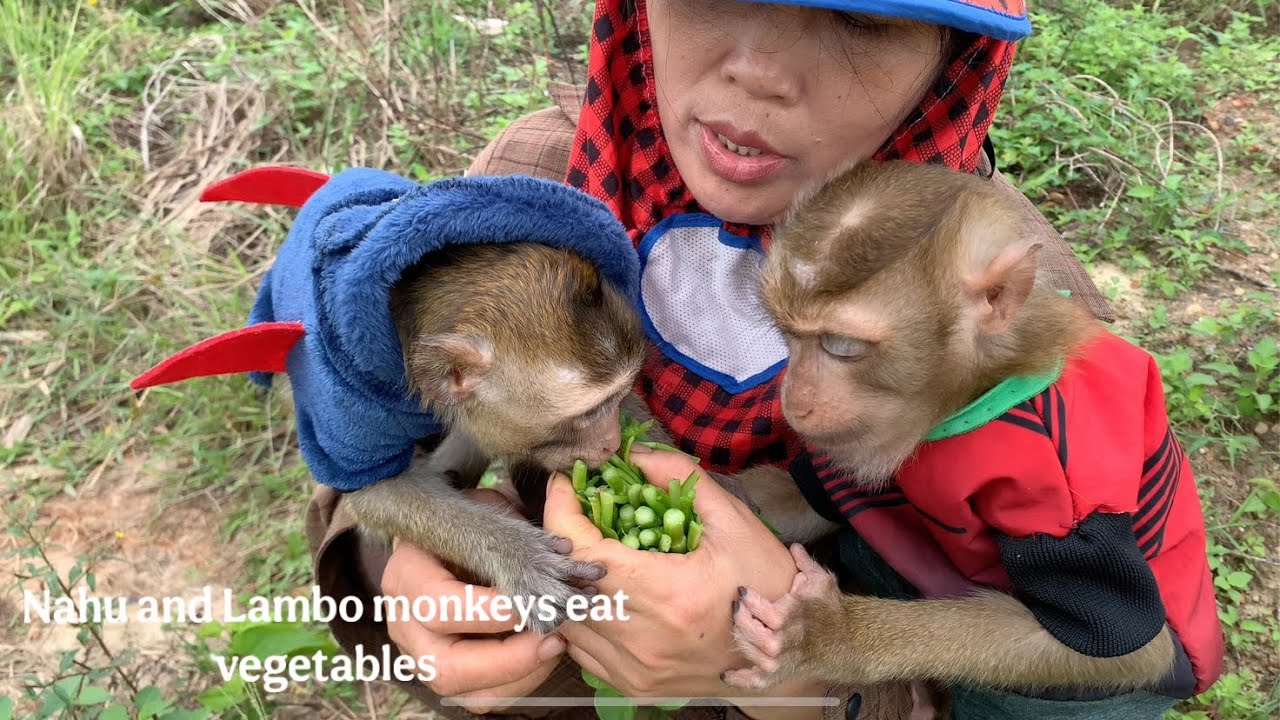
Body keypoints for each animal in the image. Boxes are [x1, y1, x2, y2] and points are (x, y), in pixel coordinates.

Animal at [716, 159, 1217, 706]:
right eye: (788, 334)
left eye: (842, 346)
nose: (796, 400)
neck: (977, 396)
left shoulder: (1071, 495)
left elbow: (1122, 650)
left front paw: (832, 634)